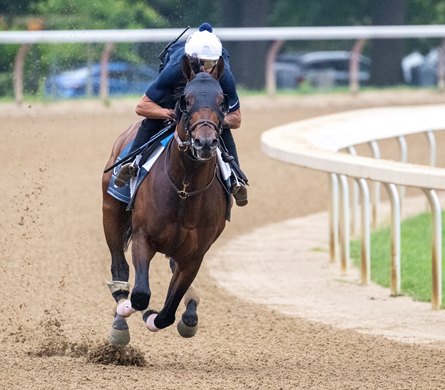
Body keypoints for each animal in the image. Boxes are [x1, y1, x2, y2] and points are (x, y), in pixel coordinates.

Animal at [101, 54, 229, 344]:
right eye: (187, 99)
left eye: (221, 101)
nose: (205, 143)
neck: (183, 188)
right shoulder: (142, 237)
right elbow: (140, 294)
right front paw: (133, 311)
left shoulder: (194, 256)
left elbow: (168, 311)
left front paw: (162, 316)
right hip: (111, 211)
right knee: (119, 269)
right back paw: (120, 318)